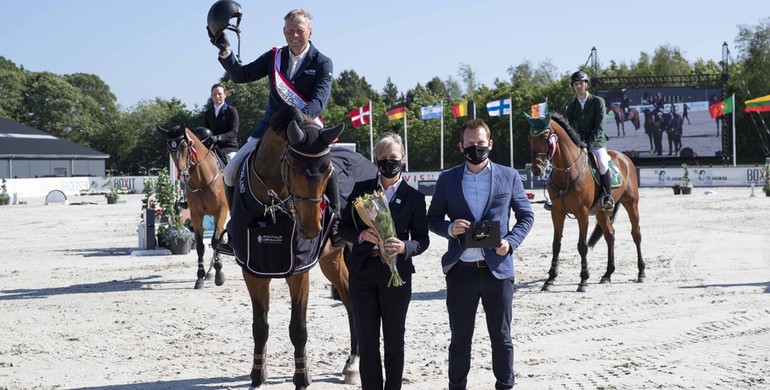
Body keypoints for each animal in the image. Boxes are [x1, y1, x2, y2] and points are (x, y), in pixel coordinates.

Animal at [156, 122, 226, 290]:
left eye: (184, 147)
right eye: (170, 149)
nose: (183, 175)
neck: (202, 180)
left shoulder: (221, 211)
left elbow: (215, 241)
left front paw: (219, 275)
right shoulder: (196, 215)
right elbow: (201, 246)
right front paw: (200, 277)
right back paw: (210, 272)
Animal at [230, 106, 362, 390]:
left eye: (328, 170)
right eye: (292, 166)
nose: (311, 228)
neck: (271, 209)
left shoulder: (299, 271)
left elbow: (298, 328)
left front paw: (302, 377)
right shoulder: (253, 271)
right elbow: (260, 325)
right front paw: (257, 375)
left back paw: (354, 363)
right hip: (331, 259)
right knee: (348, 296)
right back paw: (351, 362)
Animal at [524, 112, 644, 292]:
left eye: (545, 138)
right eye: (530, 139)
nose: (536, 169)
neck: (567, 171)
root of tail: (624, 157)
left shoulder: (583, 213)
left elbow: (582, 245)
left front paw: (583, 280)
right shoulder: (557, 212)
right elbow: (556, 244)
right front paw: (550, 279)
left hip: (631, 204)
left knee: (636, 234)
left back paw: (641, 272)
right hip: (602, 212)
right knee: (610, 235)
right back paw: (607, 274)